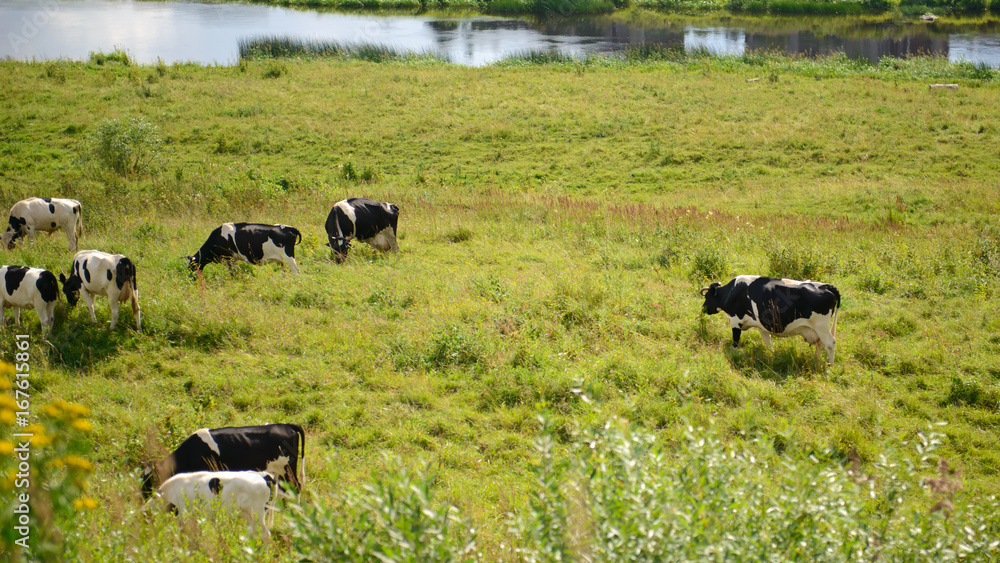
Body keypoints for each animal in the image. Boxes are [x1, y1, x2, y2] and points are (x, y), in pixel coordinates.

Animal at [140, 423, 306, 500]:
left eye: (150, 478)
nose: (142, 496)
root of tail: (286, 425)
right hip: (277, 470)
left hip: (288, 468)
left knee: (297, 486)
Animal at [700, 275, 841, 364]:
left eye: (707, 296)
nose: (703, 308)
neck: (732, 292)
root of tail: (826, 286)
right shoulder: (762, 326)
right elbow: (767, 341)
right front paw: (772, 355)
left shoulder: (735, 320)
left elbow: (735, 340)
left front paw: (733, 353)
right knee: (820, 344)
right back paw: (817, 360)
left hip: (821, 326)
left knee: (830, 343)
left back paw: (829, 365)